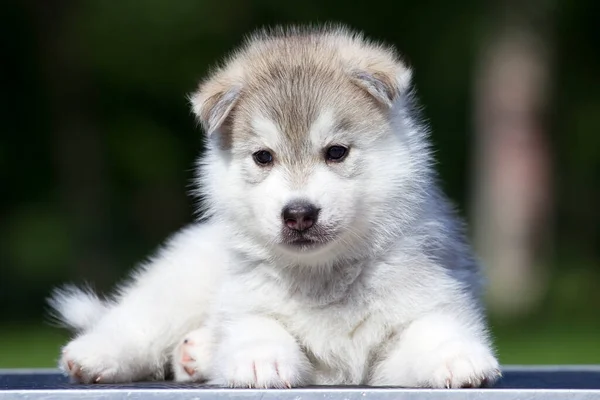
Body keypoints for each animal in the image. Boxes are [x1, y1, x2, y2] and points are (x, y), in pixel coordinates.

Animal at [49, 24, 502, 388]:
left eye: (336, 152)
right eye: (263, 157)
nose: (298, 214)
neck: (322, 275)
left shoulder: (428, 302)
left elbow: (433, 329)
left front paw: (458, 358)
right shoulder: (246, 303)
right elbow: (259, 326)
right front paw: (259, 361)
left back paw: (194, 353)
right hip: (184, 279)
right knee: (138, 321)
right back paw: (96, 355)